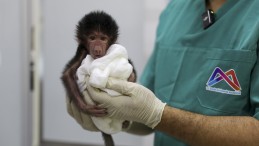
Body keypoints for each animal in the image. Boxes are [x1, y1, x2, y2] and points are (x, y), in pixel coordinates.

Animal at [61, 10, 137, 146]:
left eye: (103, 38)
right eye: (92, 38)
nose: (97, 48)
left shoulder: (116, 46)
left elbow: (130, 68)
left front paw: (130, 80)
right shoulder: (82, 49)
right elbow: (67, 74)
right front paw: (86, 109)